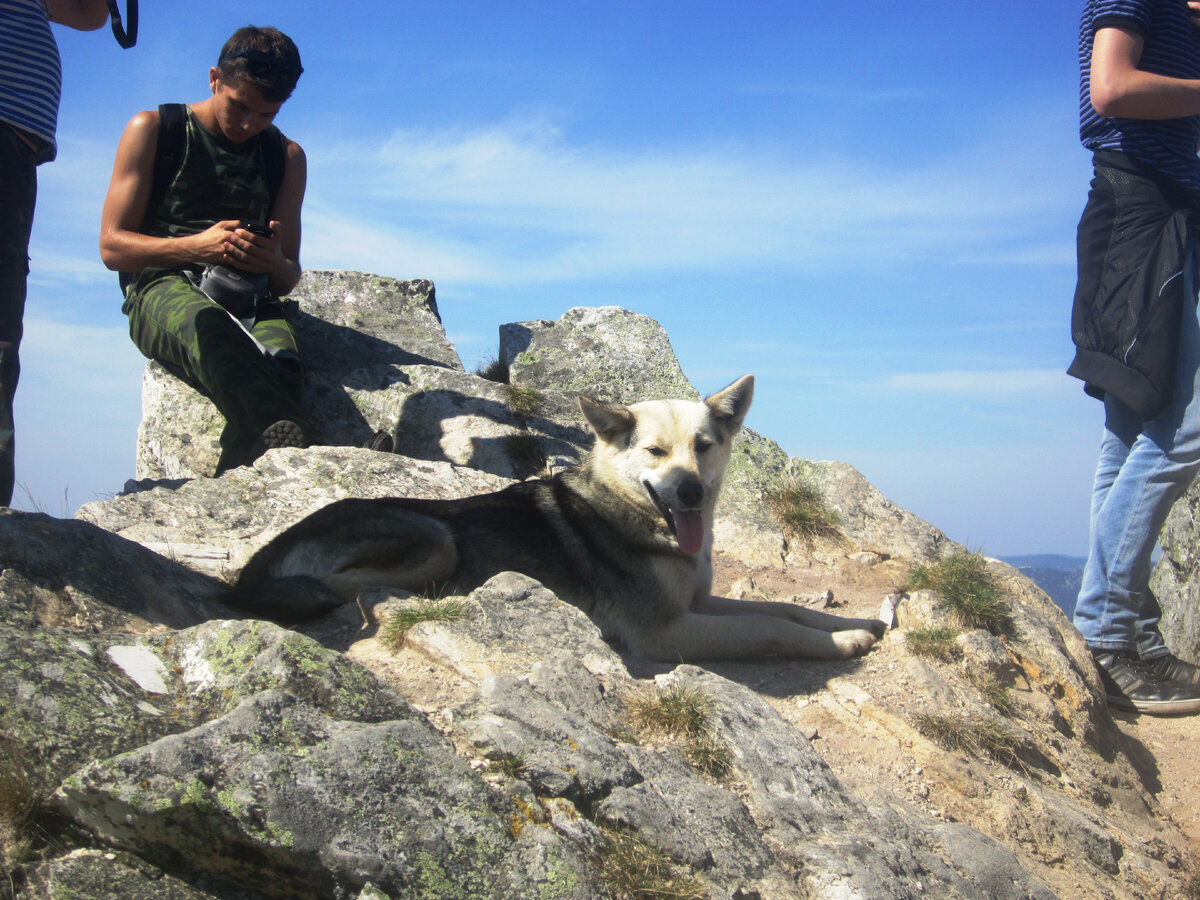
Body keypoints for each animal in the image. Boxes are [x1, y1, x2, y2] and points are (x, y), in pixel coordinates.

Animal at [226, 374, 883, 662]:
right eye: (655, 452)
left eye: (704, 446)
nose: (691, 492)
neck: (631, 516)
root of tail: (265, 552)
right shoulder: (665, 631)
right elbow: (771, 627)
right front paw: (846, 642)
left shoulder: (696, 604)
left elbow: (788, 609)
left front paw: (856, 622)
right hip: (435, 539)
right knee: (339, 586)